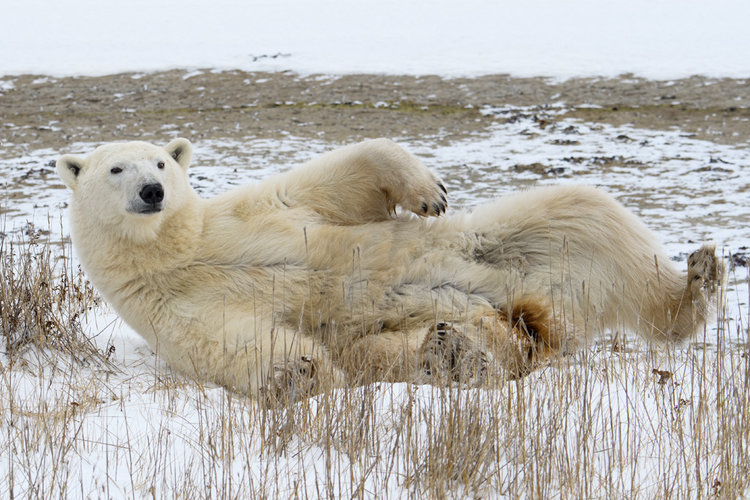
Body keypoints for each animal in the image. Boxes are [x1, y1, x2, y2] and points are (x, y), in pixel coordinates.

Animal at [56, 138, 724, 402]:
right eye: (115, 169)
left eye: (162, 163)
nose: (151, 191)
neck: (178, 249)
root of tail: (539, 309)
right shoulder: (168, 308)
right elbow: (234, 341)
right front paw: (296, 370)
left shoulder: (247, 213)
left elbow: (336, 182)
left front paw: (429, 192)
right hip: (436, 320)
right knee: (395, 352)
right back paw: (458, 352)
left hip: (513, 246)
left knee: (592, 217)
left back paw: (699, 277)